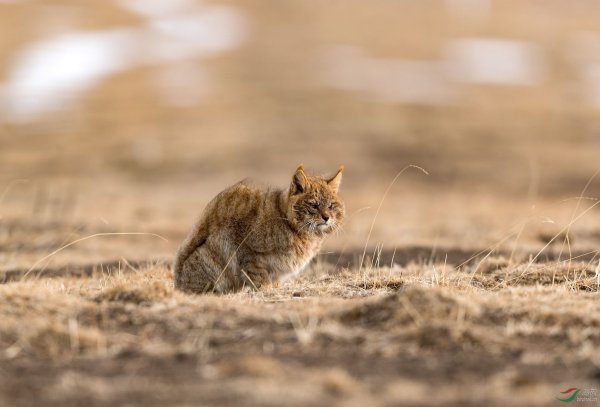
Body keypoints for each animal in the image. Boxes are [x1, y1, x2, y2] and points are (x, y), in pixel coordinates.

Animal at [171, 164, 344, 294]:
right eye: (314, 205)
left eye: (331, 205)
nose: (327, 217)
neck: (290, 223)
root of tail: (177, 283)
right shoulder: (247, 250)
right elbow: (258, 275)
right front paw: (265, 290)